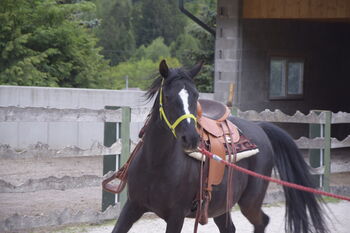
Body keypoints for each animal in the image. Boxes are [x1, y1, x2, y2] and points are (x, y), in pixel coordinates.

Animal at [112, 60, 328, 233]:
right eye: (167, 96)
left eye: (195, 95)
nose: (191, 138)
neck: (156, 163)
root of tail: (259, 127)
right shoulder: (133, 206)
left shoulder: (176, 216)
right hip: (221, 206)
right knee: (230, 228)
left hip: (250, 202)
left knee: (261, 222)